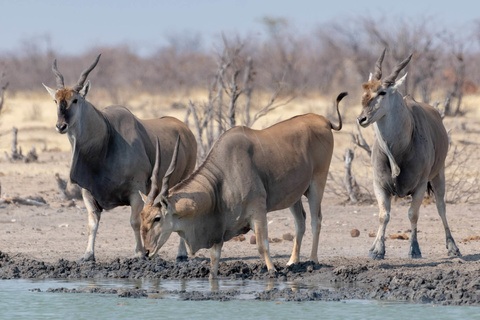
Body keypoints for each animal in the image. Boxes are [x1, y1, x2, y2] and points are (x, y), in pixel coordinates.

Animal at [43, 53, 197, 262]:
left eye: (75, 100)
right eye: (56, 101)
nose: (61, 126)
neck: (107, 138)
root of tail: (185, 130)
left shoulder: (136, 190)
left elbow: (135, 221)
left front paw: (139, 253)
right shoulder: (87, 192)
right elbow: (92, 223)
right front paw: (88, 254)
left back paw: (181, 254)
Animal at [140, 92, 348, 278]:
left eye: (157, 218)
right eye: (142, 216)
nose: (147, 252)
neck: (223, 178)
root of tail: (324, 120)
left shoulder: (258, 211)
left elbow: (263, 246)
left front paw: (273, 271)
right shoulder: (221, 227)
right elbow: (214, 259)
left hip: (317, 183)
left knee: (316, 220)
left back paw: (313, 260)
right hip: (294, 196)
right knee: (301, 222)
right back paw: (292, 261)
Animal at [358, 50, 460, 260]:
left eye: (382, 92)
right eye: (365, 90)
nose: (361, 118)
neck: (399, 150)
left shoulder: (420, 186)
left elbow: (413, 214)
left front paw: (414, 249)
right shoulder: (379, 185)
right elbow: (383, 215)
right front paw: (377, 250)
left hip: (439, 175)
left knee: (441, 207)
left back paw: (453, 247)